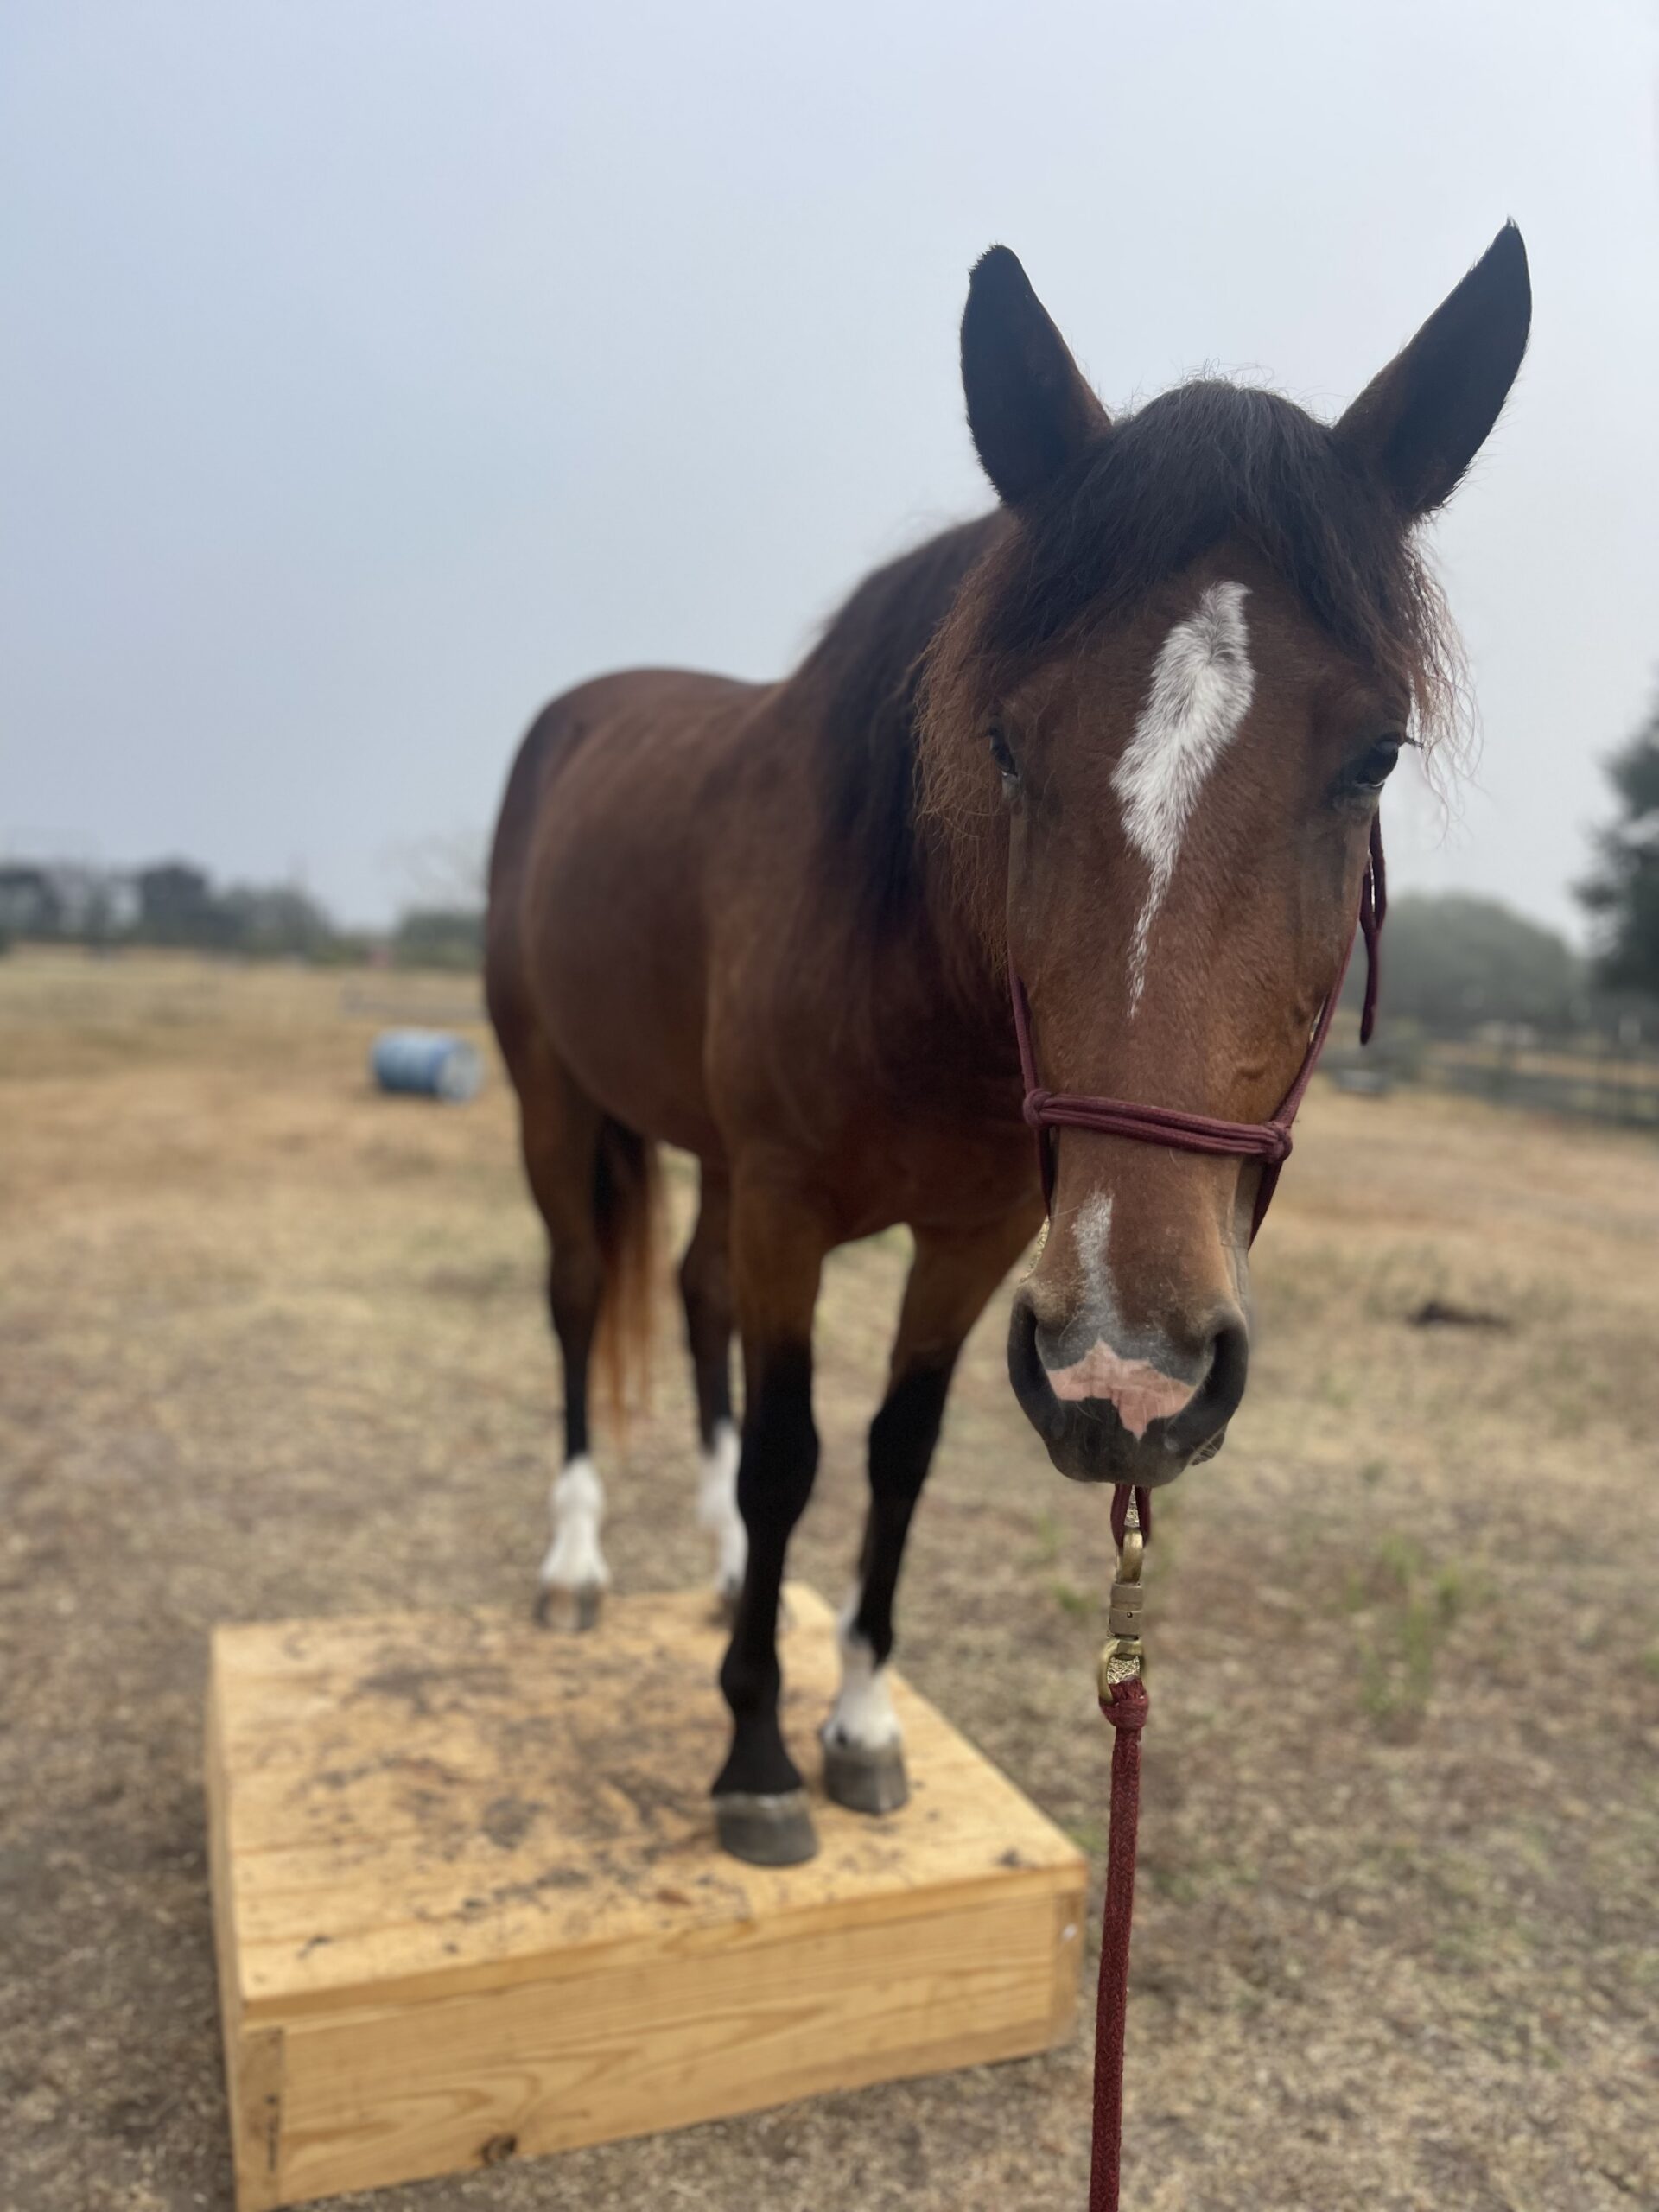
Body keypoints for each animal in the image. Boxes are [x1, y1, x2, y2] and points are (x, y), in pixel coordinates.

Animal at [486, 226, 1529, 1866]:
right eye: (1004, 744)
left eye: (1375, 754)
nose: (1136, 1378)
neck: (912, 968)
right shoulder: (792, 1205)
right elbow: (794, 1455)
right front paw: (757, 1757)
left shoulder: (973, 1240)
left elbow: (896, 1457)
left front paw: (855, 1720)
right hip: (552, 1098)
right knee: (585, 1296)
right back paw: (580, 1562)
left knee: (692, 1300)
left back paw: (717, 1570)